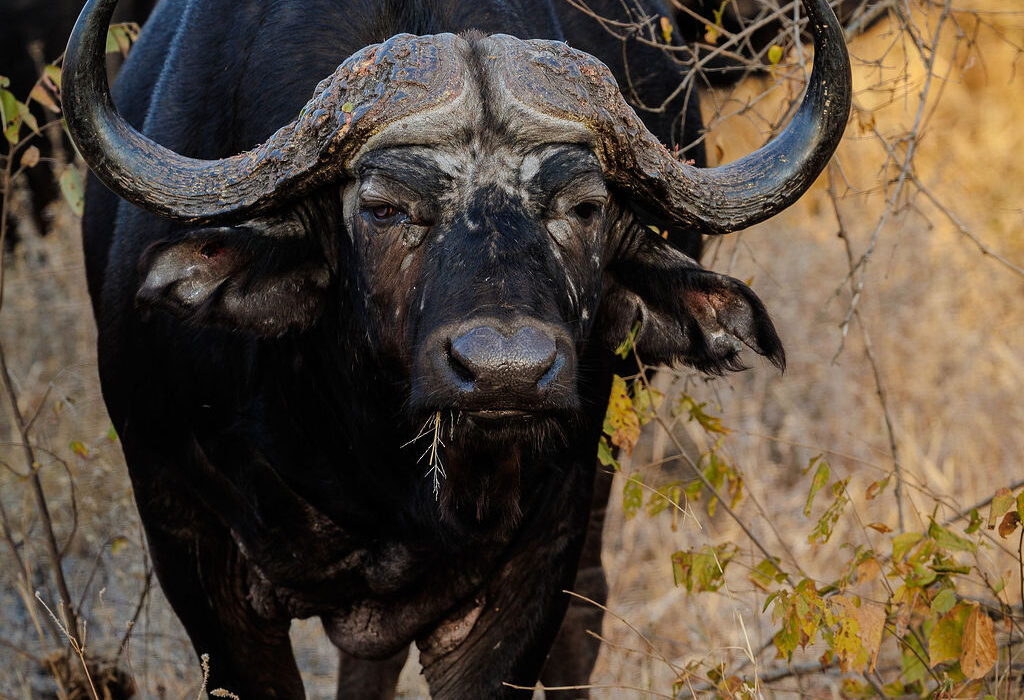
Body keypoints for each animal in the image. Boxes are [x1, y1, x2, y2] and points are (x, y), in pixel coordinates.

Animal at [61, 0, 850, 696]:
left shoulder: (532, 559)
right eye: (383, 208)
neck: (365, 462)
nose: (508, 373)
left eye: (585, 208)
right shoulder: (188, 540)